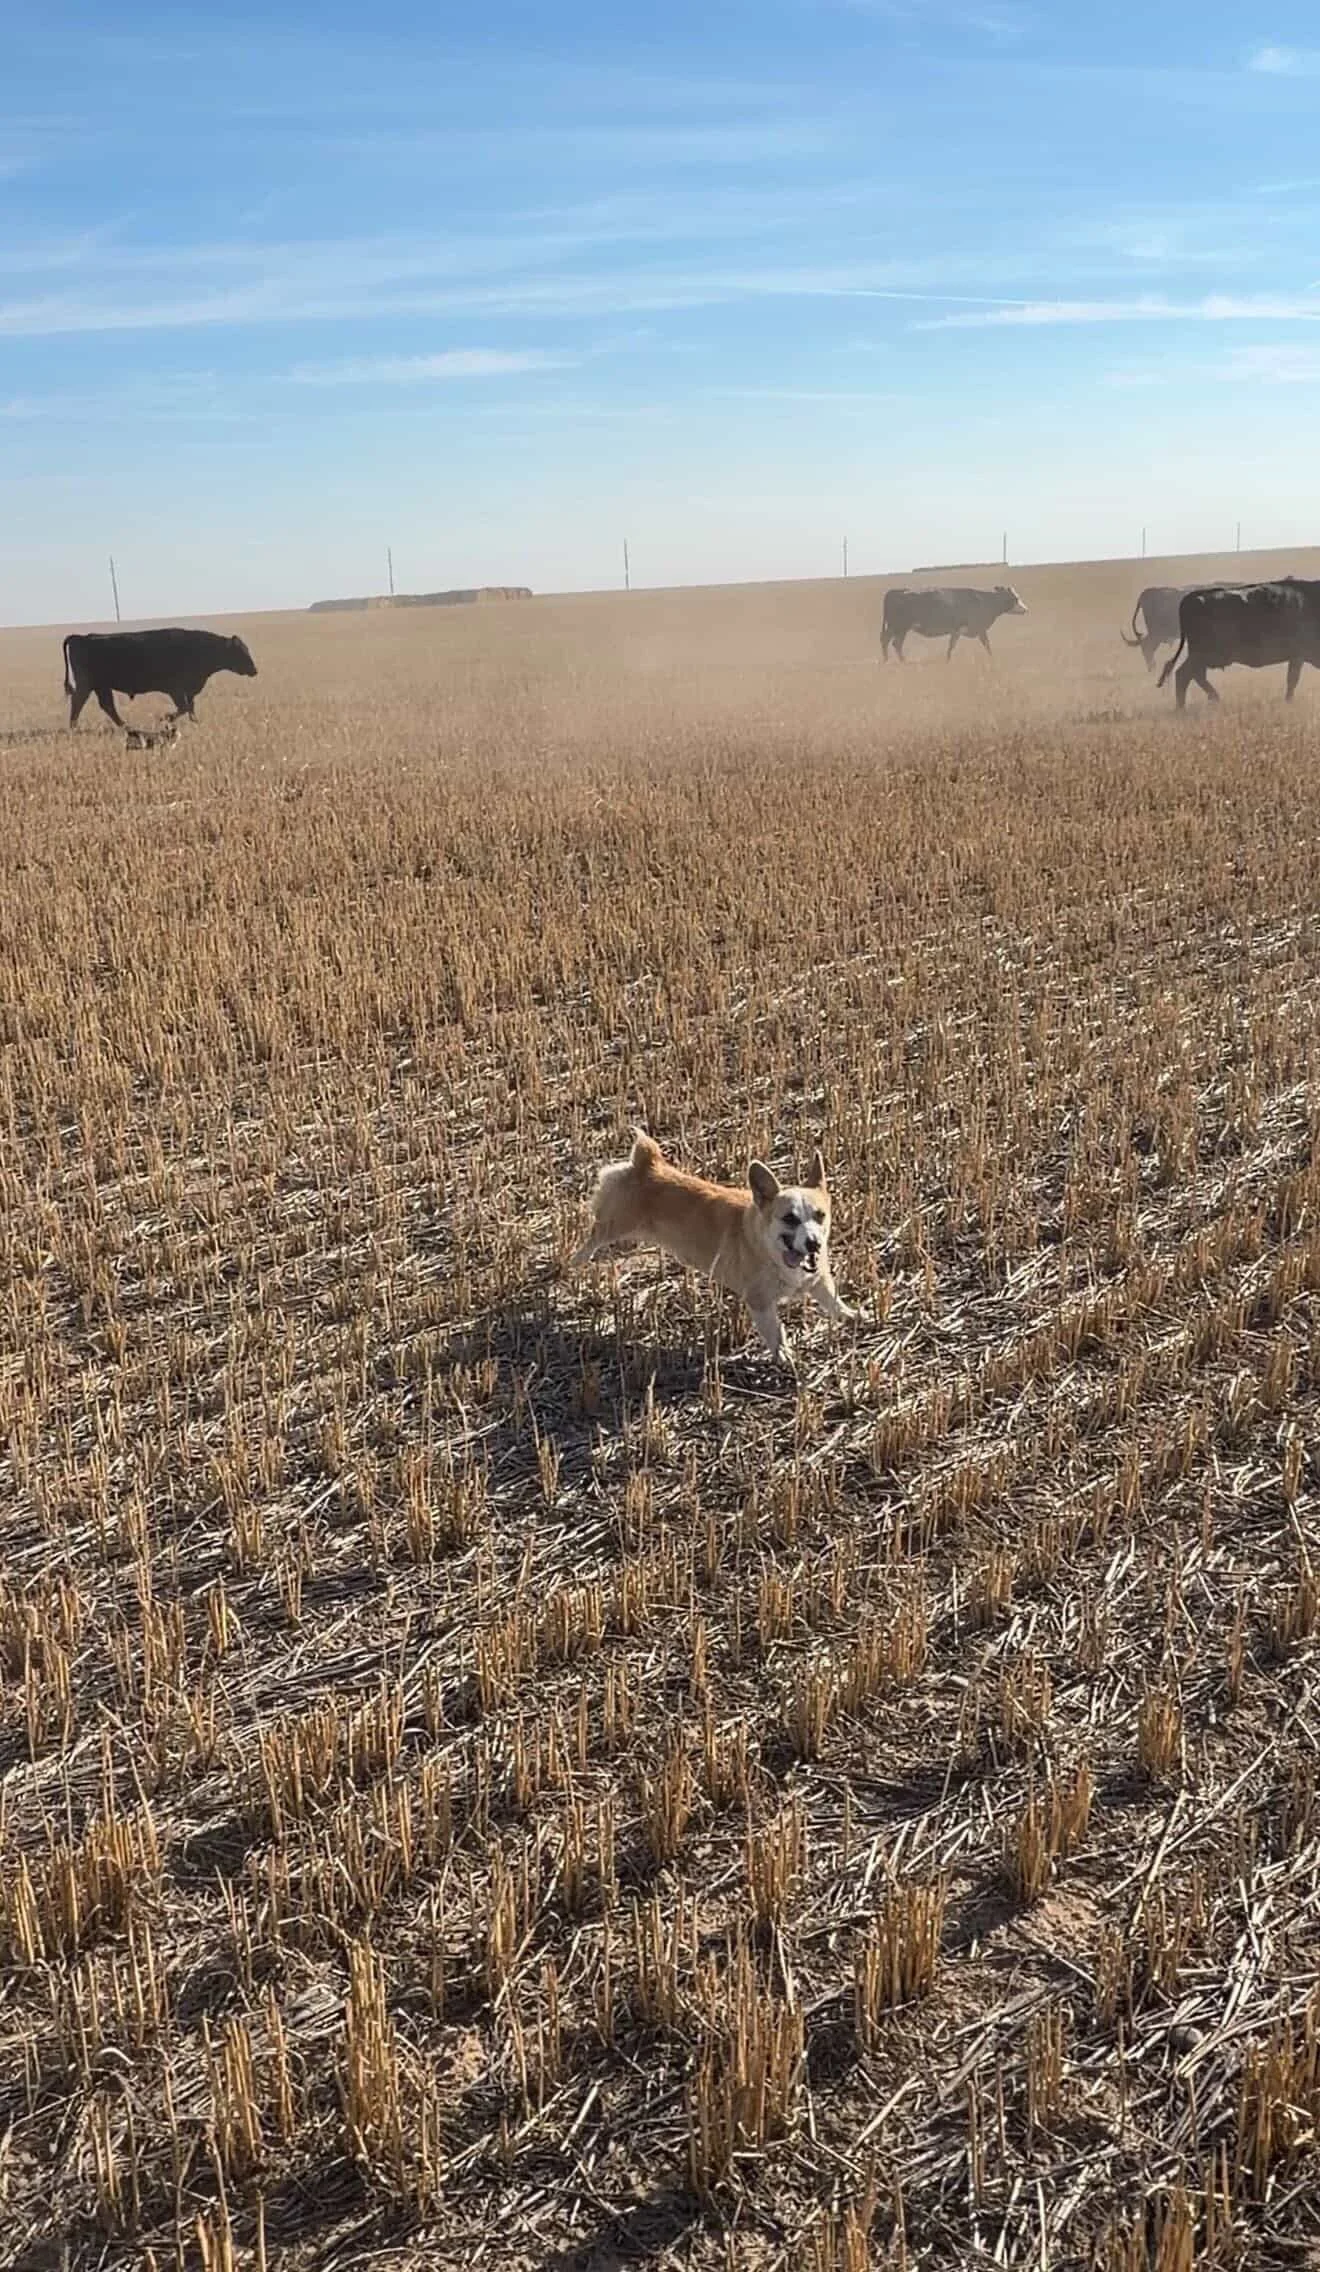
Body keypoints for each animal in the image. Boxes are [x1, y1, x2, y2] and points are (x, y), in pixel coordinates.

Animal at [63, 627, 258, 728]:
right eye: (240, 651)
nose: (255, 670)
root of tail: (82, 637)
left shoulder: (188, 689)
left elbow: (190, 706)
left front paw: (195, 721)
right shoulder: (176, 689)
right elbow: (183, 707)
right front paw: (165, 718)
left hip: (101, 686)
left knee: (106, 705)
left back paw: (124, 725)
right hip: (89, 684)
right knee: (79, 701)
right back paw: (74, 726)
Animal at [880, 584, 1027, 661]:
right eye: (1016, 598)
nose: (1026, 609)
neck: (984, 601)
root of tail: (895, 591)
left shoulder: (958, 631)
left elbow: (951, 646)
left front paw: (948, 659)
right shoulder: (977, 629)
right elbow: (986, 644)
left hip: (897, 628)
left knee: (890, 642)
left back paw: (890, 661)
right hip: (900, 627)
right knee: (893, 643)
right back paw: (900, 661)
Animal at [1157, 580, 1320, 710]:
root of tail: (1193, 597)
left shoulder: (1297, 657)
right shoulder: (1298, 656)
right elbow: (1292, 680)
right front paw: (1288, 702)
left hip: (1200, 657)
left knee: (1195, 675)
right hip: (1200, 655)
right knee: (1184, 675)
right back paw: (1184, 707)